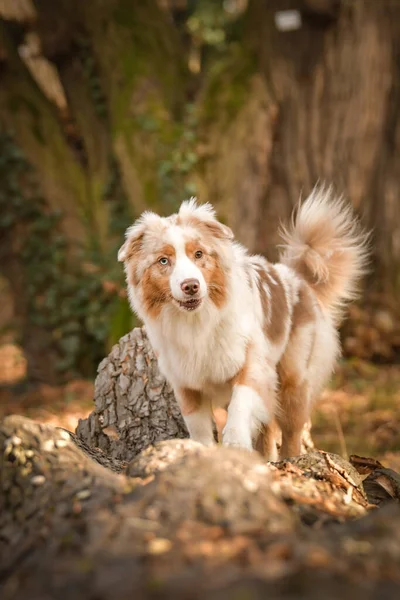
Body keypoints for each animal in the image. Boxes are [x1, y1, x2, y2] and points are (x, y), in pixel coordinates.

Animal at [117, 188, 368, 460]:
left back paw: (290, 460)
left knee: (291, 431)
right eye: (163, 261)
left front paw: (236, 442)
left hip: (294, 379)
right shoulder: (185, 382)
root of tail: (297, 277)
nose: (191, 285)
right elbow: (198, 425)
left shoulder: (253, 362)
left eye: (199, 254)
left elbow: (241, 402)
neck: (198, 321)